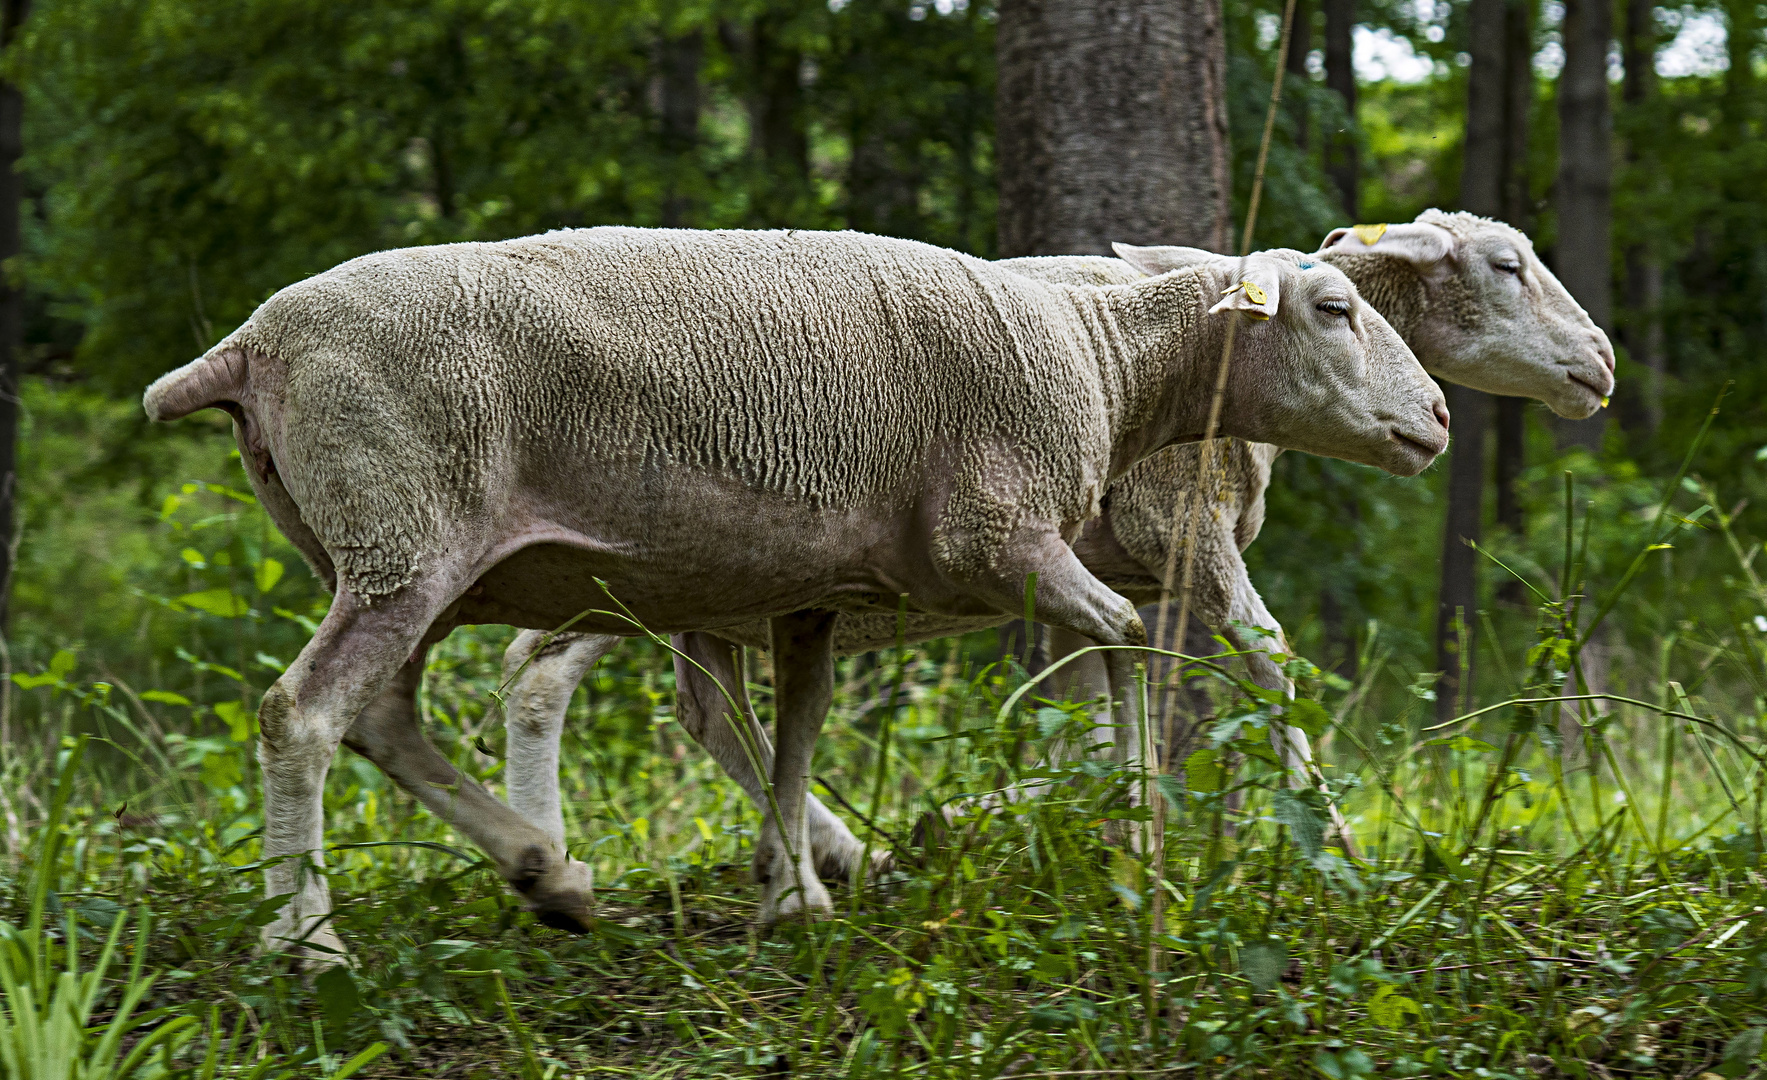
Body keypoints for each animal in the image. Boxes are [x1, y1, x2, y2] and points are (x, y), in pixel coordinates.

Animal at [141, 228, 1448, 954]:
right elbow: (1127, 633)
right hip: (404, 535)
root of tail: (251, 343)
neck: (1106, 357)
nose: (1437, 416)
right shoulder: (1002, 537)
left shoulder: (817, 582)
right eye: (1334, 310)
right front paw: (1136, 837)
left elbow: (796, 725)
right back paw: (311, 944)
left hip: (389, 551)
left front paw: (795, 898)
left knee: (384, 719)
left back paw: (549, 875)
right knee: (303, 714)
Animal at [494, 212, 1618, 887]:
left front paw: (1087, 823)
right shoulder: (1186, 526)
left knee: (705, 710)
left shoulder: (1110, 571)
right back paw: (551, 852)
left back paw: (837, 847)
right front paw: (1335, 843)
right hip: (630, 564)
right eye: (1507, 265)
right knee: (539, 676)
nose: (1604, 361)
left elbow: (1099, 711)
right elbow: (1267, 659)